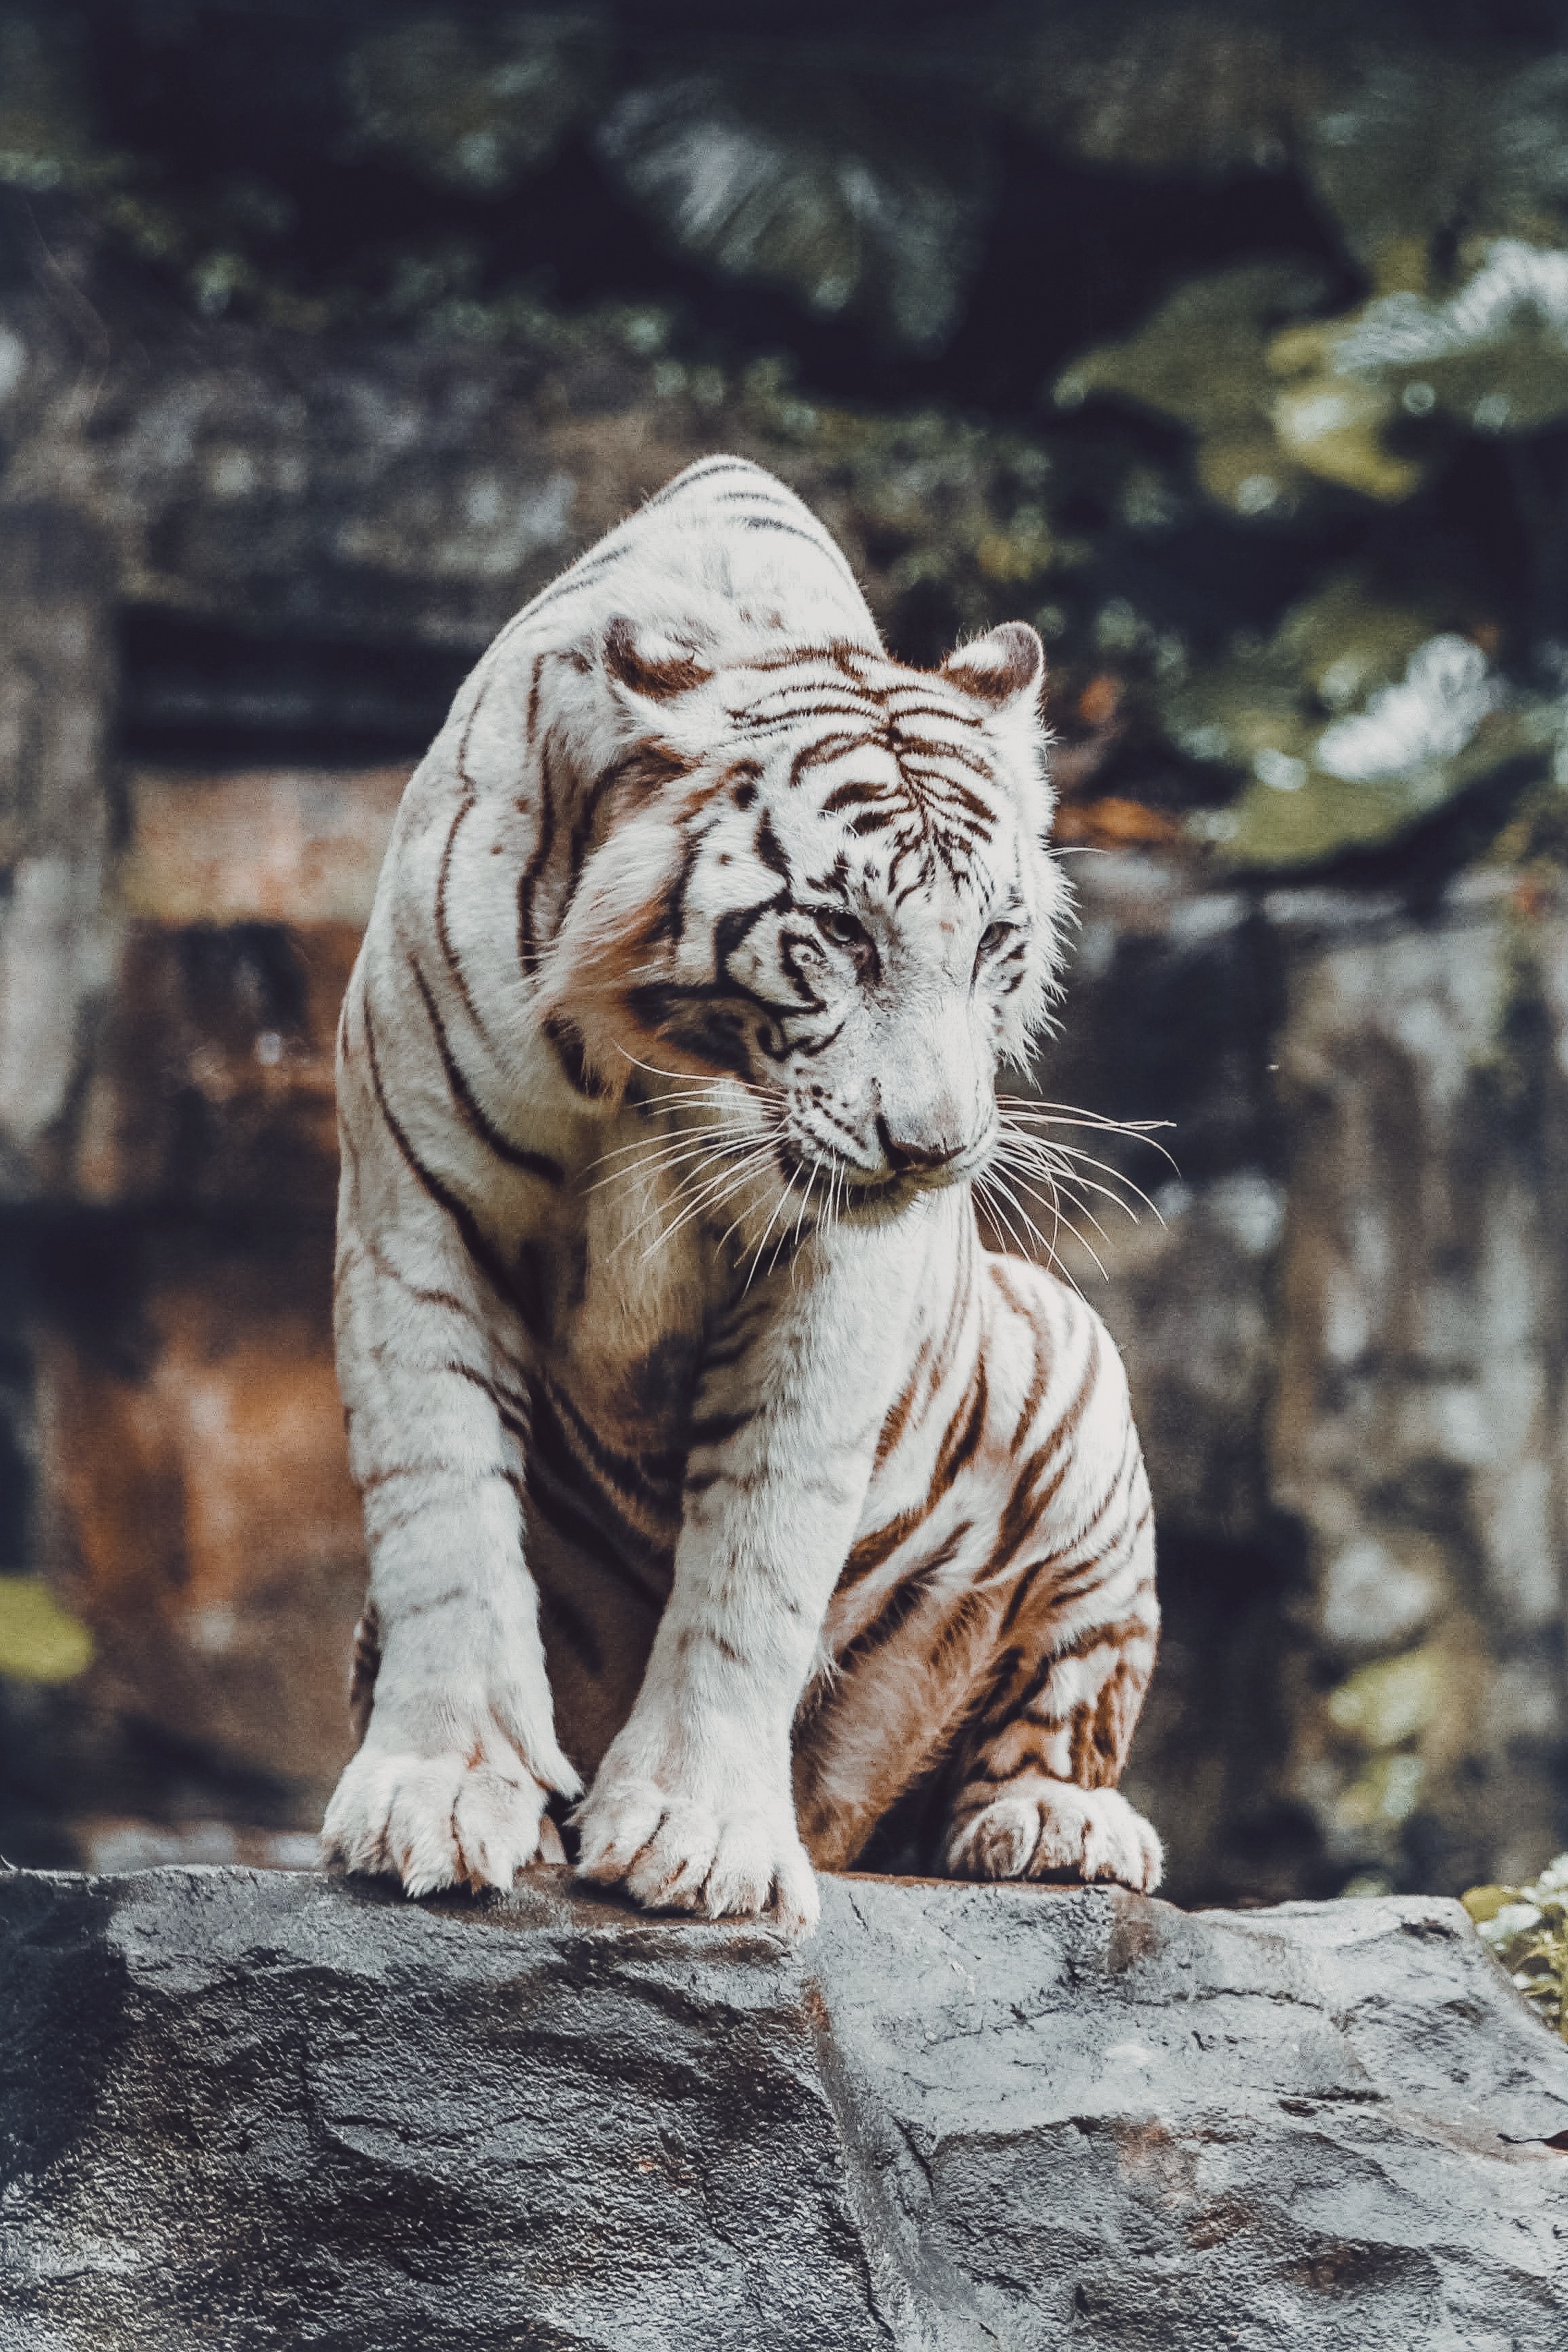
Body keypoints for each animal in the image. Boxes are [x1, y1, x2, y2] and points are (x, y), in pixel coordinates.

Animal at [321, 453, 1162, 1934]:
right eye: (841, 937)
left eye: (994, 943)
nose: (938, 1149)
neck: (658, 1070)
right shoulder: (416, 1214)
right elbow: (442, 1517)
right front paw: (439, 1791)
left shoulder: (837, 1276)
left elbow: (757, 1550)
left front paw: (698, 1833)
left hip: (1074, 1375)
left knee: (1054, 1715)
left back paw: (1051, 1824)